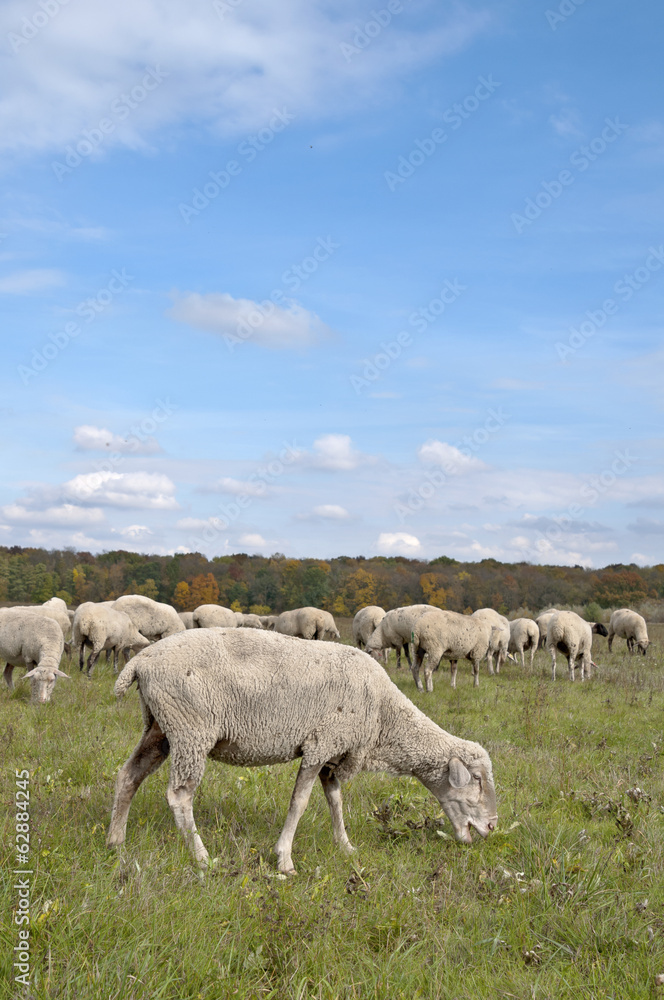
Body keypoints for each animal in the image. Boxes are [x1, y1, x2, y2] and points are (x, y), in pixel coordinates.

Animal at [107, 629, 497, 873]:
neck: (384, 717)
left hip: (161, 728)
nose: (493, 827)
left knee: (128, 776)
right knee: (179, 795)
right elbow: (300, 803)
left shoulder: (334, 753)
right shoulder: (320, 744)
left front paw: (346, 847)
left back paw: (116, 842)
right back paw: (202, 858)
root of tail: (140, 662)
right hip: (191, 730)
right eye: (477, 779)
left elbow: (335, 801)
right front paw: (284, 860)